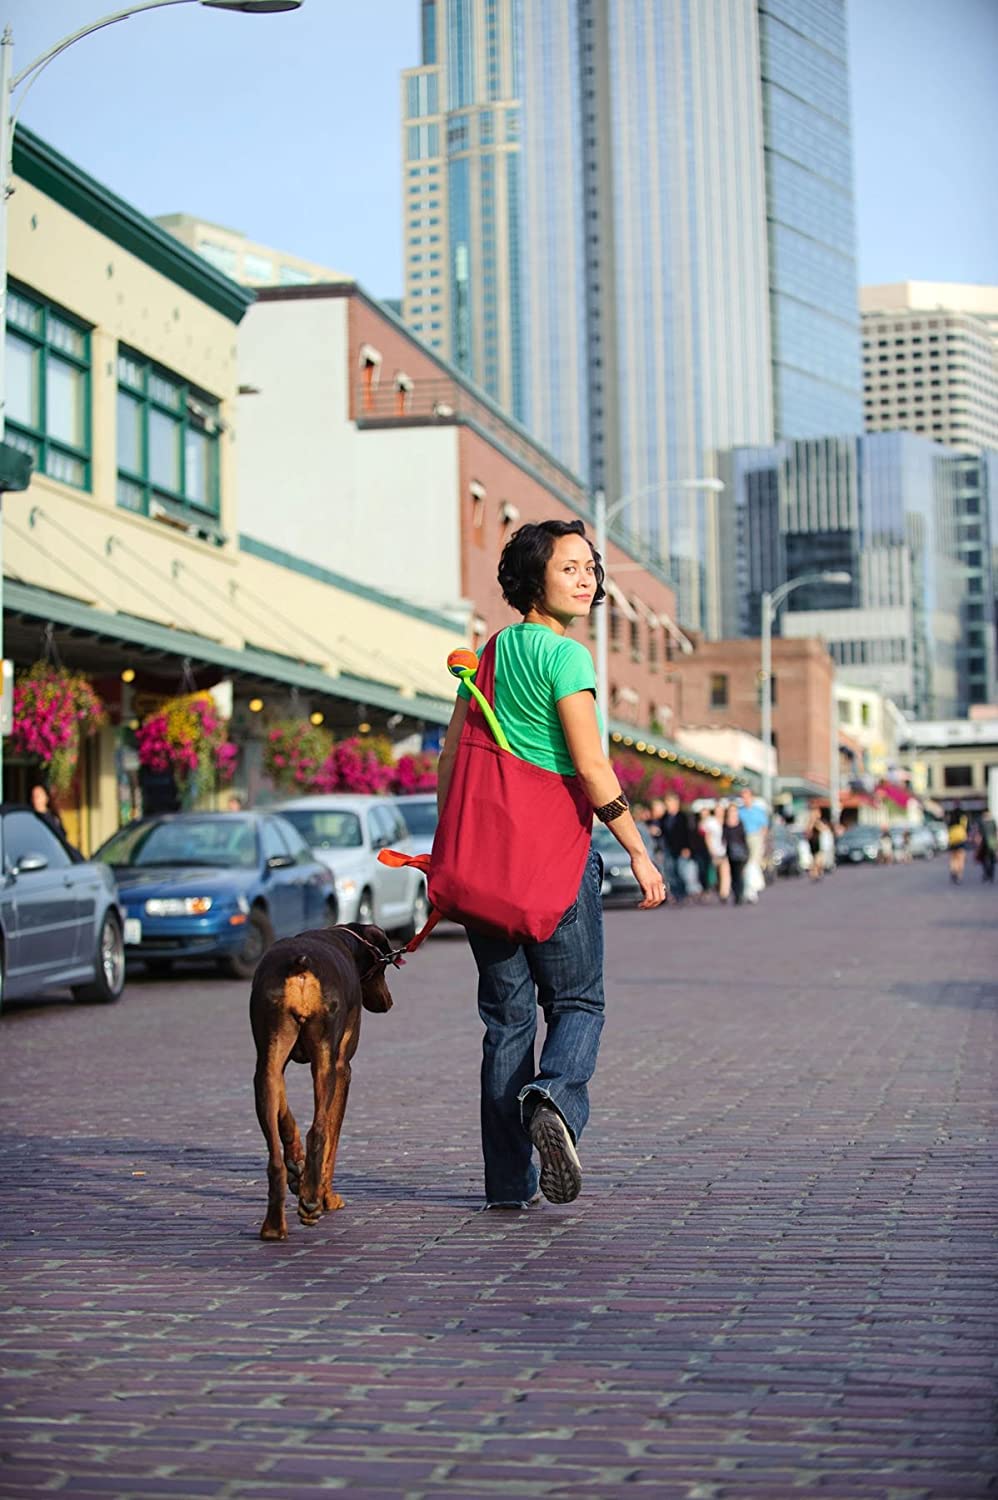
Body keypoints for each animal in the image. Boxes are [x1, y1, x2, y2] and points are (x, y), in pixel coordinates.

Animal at [247, 924, 396, 1242]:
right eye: (382, 968)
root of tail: (300, 965)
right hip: (326, 1062)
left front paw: (297, 1170)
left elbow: (285, 1116)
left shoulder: (274, 1064)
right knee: (319, 1132)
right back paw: (313, 1202)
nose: (388, 1003)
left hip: (269, 1055)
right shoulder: (343, 1068)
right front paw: (326, 1196)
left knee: (274, 1157)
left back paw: (274, 1225)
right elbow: (332, 1136)